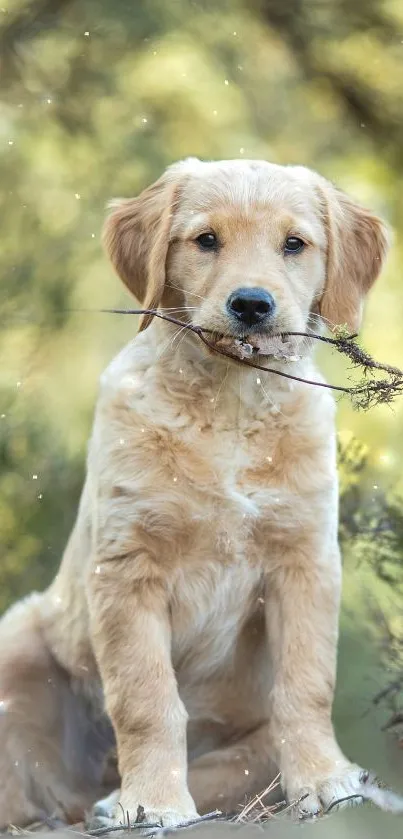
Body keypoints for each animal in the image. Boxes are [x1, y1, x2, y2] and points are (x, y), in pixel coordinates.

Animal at [0, 158, 388, 828]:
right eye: (206, 240)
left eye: (295, 244)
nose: (252, 304)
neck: (230, 403)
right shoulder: (127, 567)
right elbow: (147, 698)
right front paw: (153, 803)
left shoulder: (306, 560)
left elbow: (307, 682)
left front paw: (324, 778)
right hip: (20, 641)